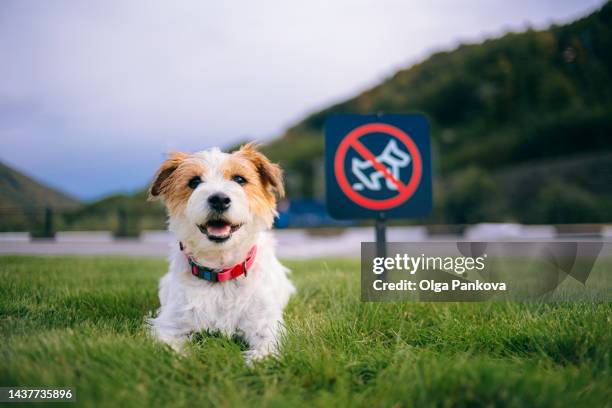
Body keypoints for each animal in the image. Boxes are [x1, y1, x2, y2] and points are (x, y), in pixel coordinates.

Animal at [146, 144, 294, 364]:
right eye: (194, 182)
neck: (221, 271)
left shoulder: (263, 323)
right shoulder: (171, 324)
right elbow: (170, 350)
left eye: (239, 179)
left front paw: (257, 362)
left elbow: (266, 349)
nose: (219, 199)